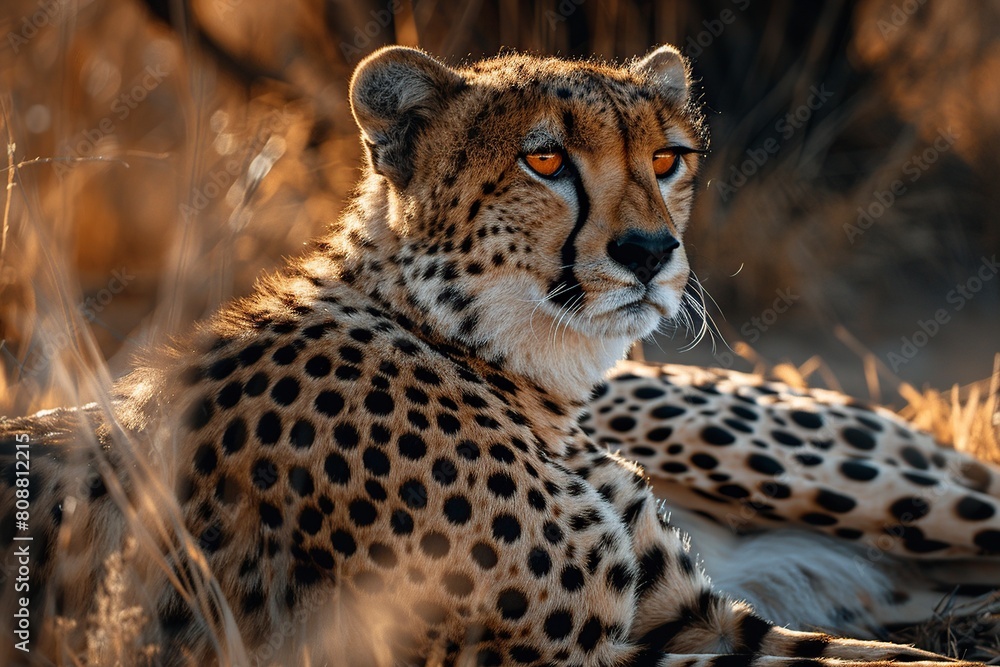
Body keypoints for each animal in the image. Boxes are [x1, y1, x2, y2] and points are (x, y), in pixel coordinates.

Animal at [1, 43, 997, 666]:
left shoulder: (700, 618)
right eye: (545, 161)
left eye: (667, 159)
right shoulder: (578, 651)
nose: (651, 252)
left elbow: (904, 661)